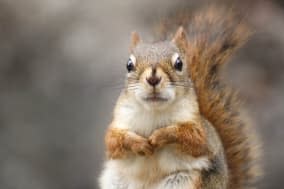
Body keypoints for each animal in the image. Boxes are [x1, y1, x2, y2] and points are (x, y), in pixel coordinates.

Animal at [98, 6, 260, 188]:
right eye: (129, 65)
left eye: (179, 63)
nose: (153, 78)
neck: (154, 111)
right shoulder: (120, 121)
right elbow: (113, 141)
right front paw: (138, 143)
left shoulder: (199, 129)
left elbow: (193, 138)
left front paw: (160, 136)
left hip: (184, 181)